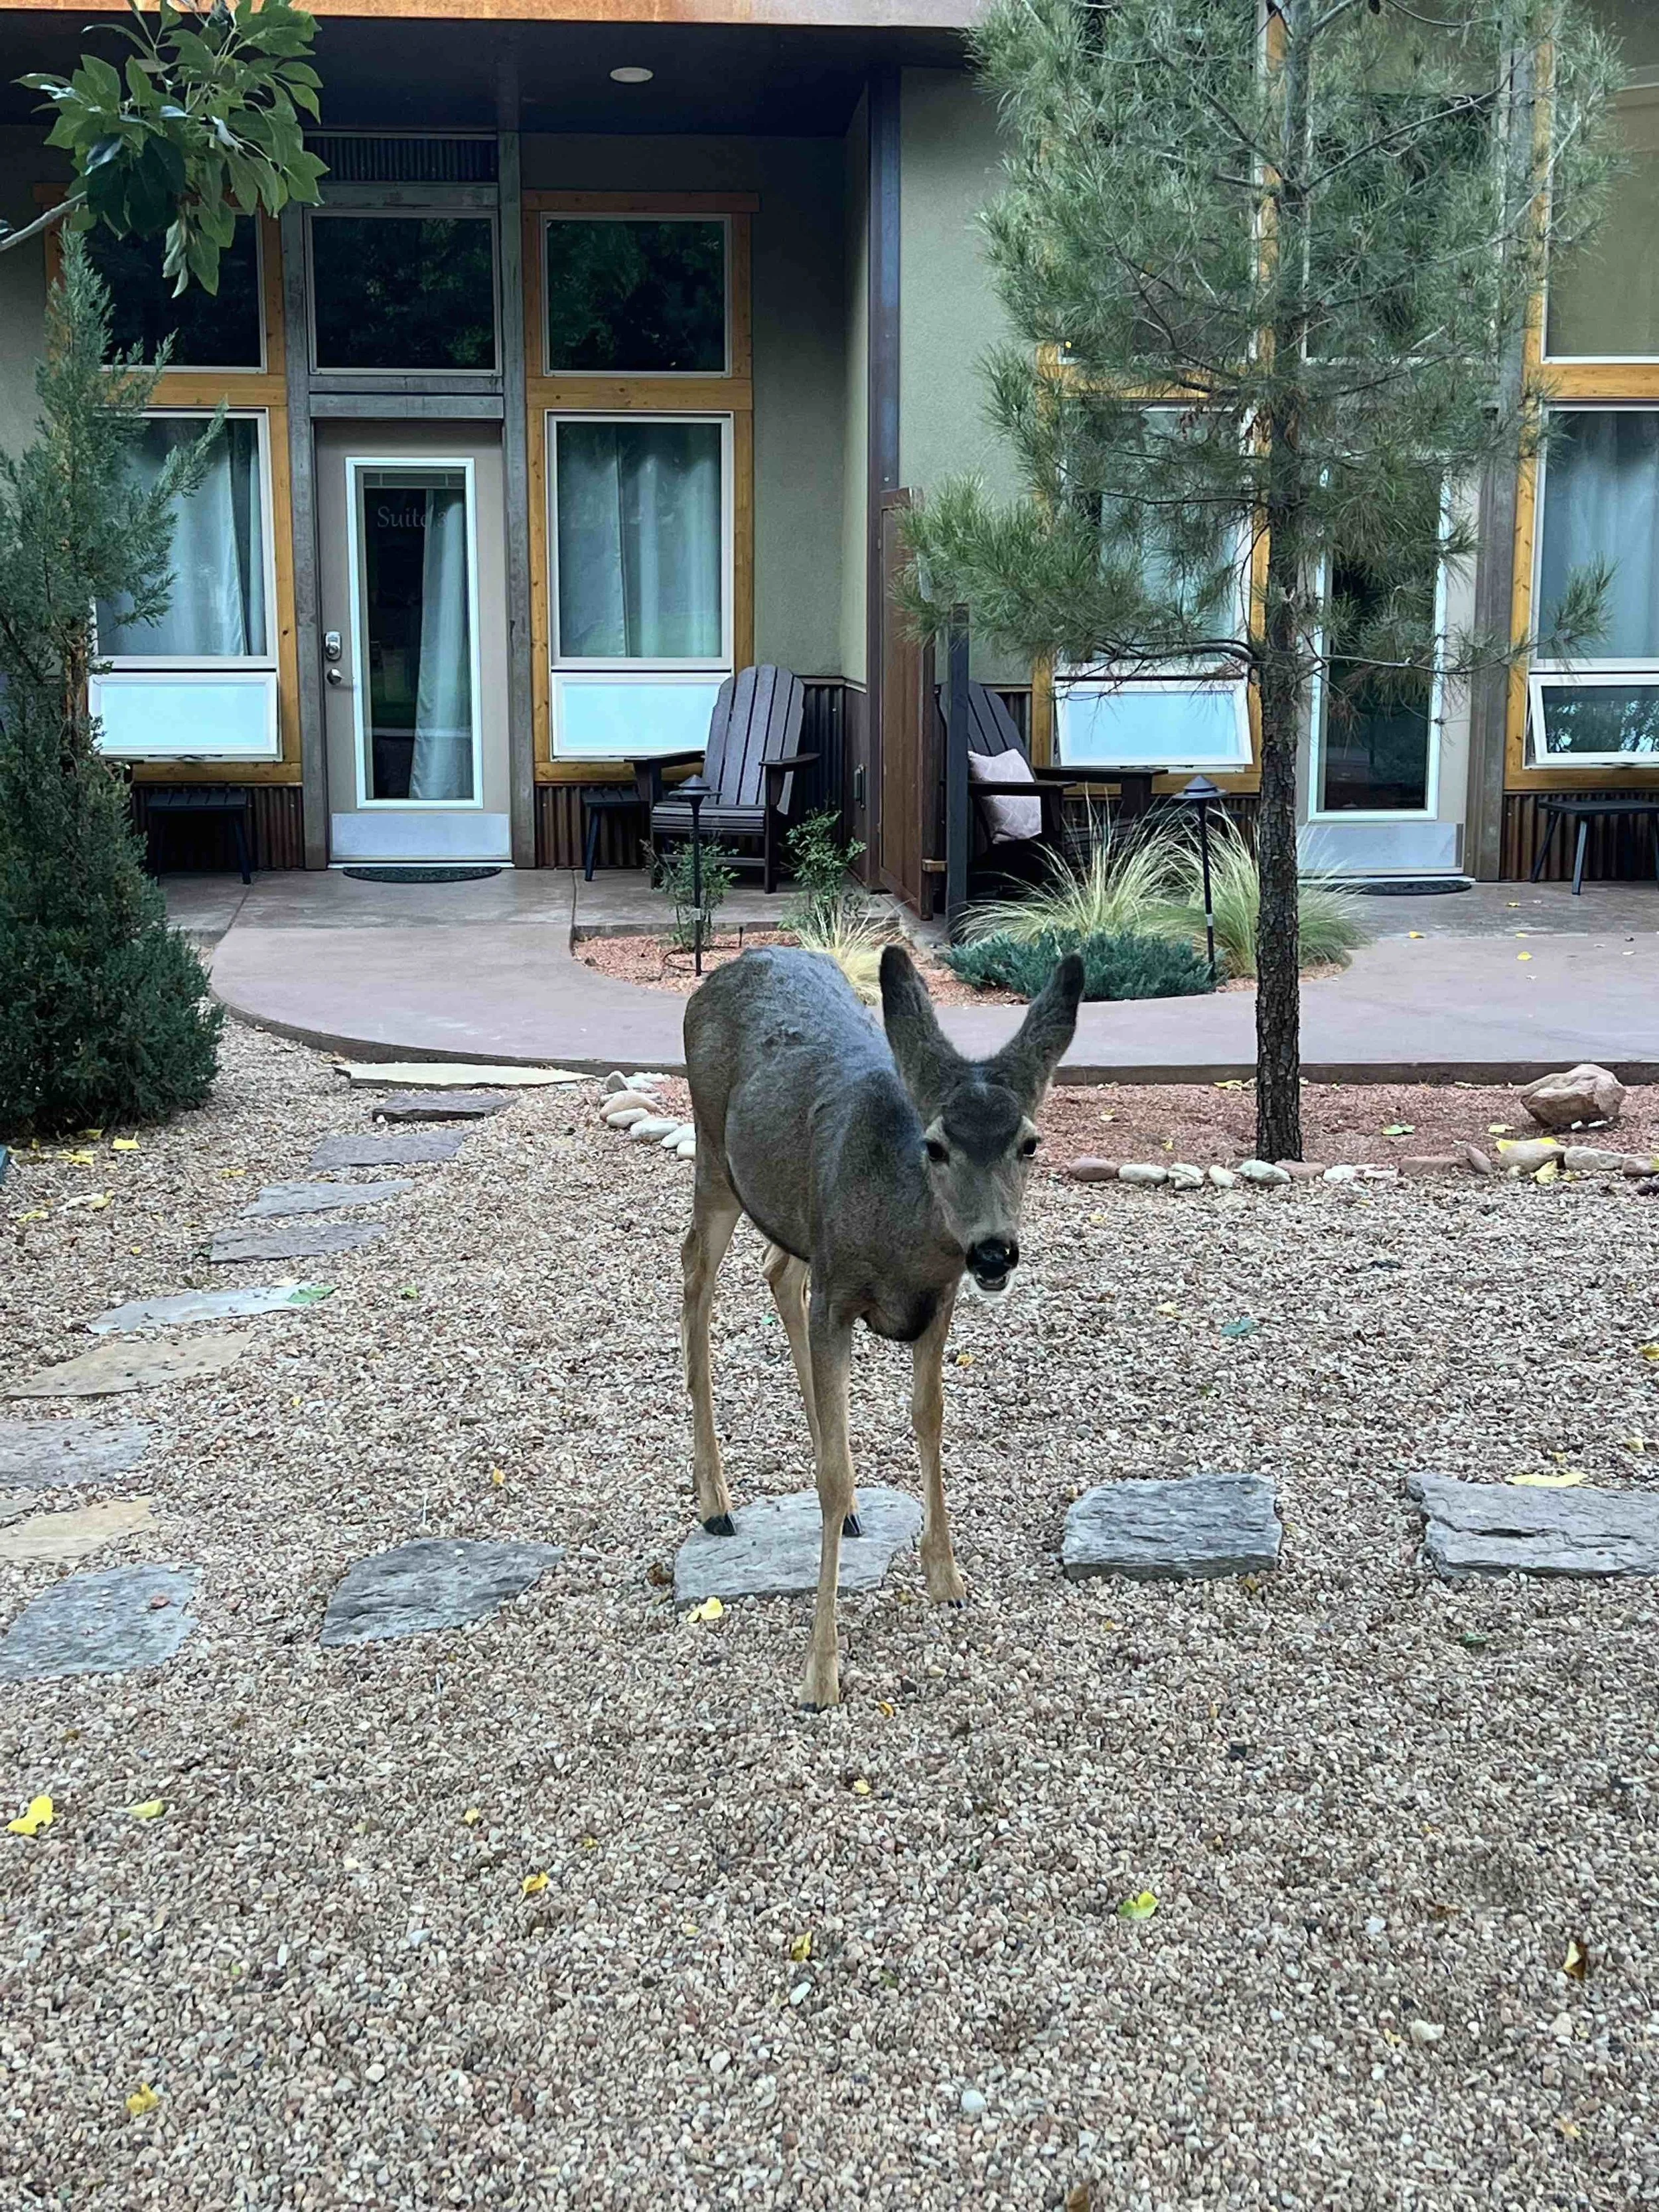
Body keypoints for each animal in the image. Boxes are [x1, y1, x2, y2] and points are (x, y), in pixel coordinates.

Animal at [681, 941, 1084, 1709]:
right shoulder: (839, 1294)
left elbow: (928, 1418)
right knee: (694, 1276)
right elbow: (832, 1474)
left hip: (794, 1216)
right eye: (937, 1145)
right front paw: (820, 1671)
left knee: (778, 1269)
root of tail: (726, 968)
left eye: (1029, 1142)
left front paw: (946, 1576)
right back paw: (715, 1502)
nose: (993, 1250)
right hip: (715, 1158)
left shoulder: (939, 1302)